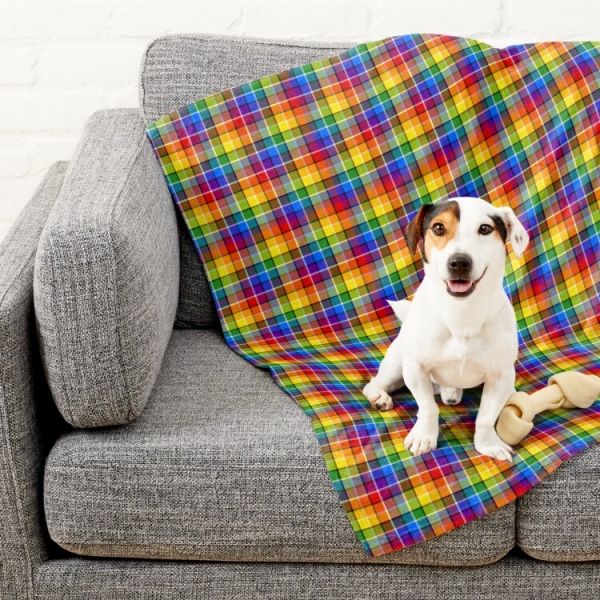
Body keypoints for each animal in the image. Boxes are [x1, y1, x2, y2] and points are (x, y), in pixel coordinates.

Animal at [364, 199, 528, 462]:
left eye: (485, 228)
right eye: (438, 228)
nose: (459, 262)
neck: (461, 314)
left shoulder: (500, 375)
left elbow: (486, 417)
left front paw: (488, 444)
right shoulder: (416, 368)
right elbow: (428, 408)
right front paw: (424, 437)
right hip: (397, 365)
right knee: (374, 383)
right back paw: (379, 397)